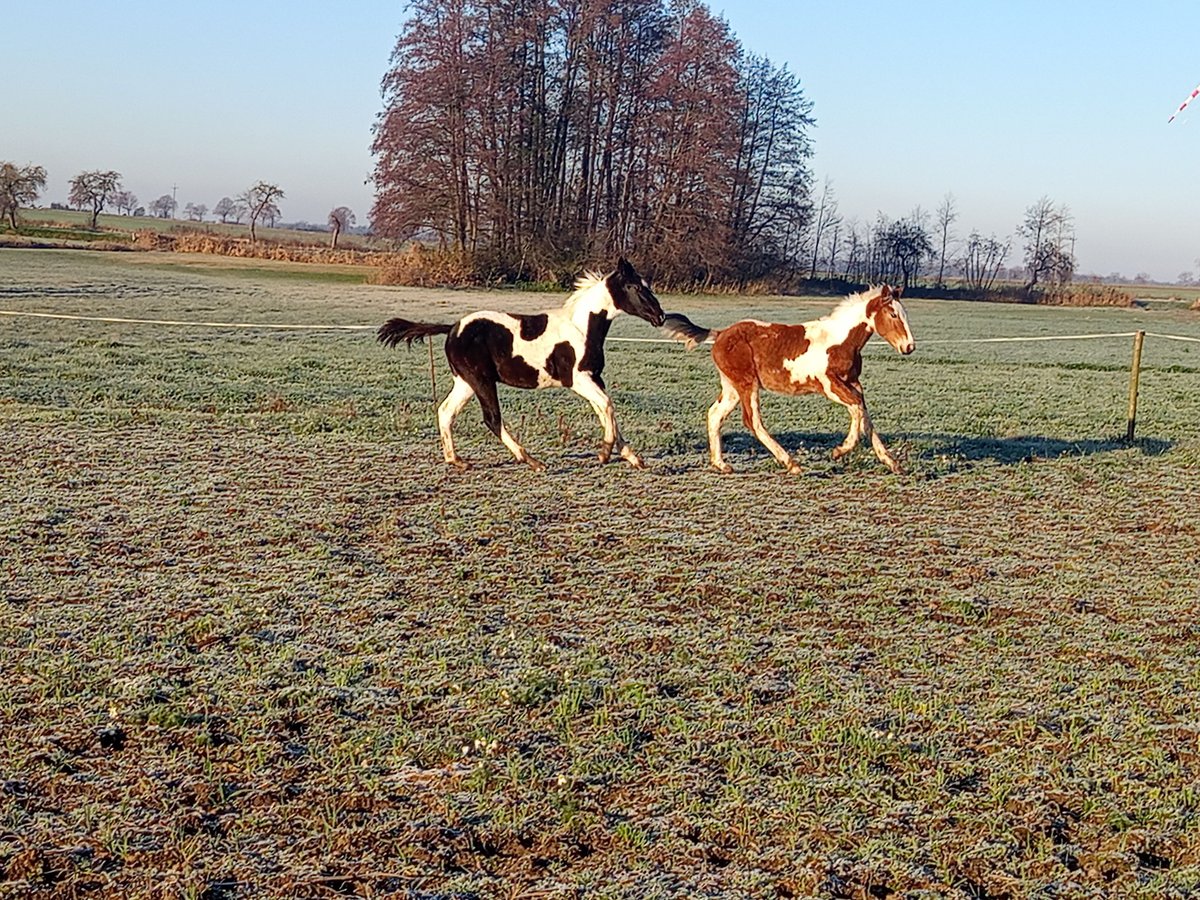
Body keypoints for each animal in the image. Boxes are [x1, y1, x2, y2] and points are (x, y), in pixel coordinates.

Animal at [378, 257, 665, 471]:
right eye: (636, 288)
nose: (660, 316)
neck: (581, 328)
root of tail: (452, 329)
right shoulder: (578, 379)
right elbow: (606, 406)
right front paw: (604, 454)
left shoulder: (594, 378)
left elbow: (606, 411)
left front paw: (633, 457)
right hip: (481, 381)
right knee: (492, 419)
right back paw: (532, 461)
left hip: (466, 382)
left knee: (446, 411)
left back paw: (456, 460)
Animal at [660, 284, 915, 474]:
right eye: (893, 314)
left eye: (905, 314)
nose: (909, 347)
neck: (839, 340)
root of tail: (720, 334)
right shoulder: (829, 384)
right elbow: (856, 409)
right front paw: (839, 451)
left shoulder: (853, 383)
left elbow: (865, 415)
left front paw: (892, 463)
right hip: (747, 383)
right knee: (752, 421)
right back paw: (791, 464)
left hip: (732, 387)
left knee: (715, 415)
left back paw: (721, 464)